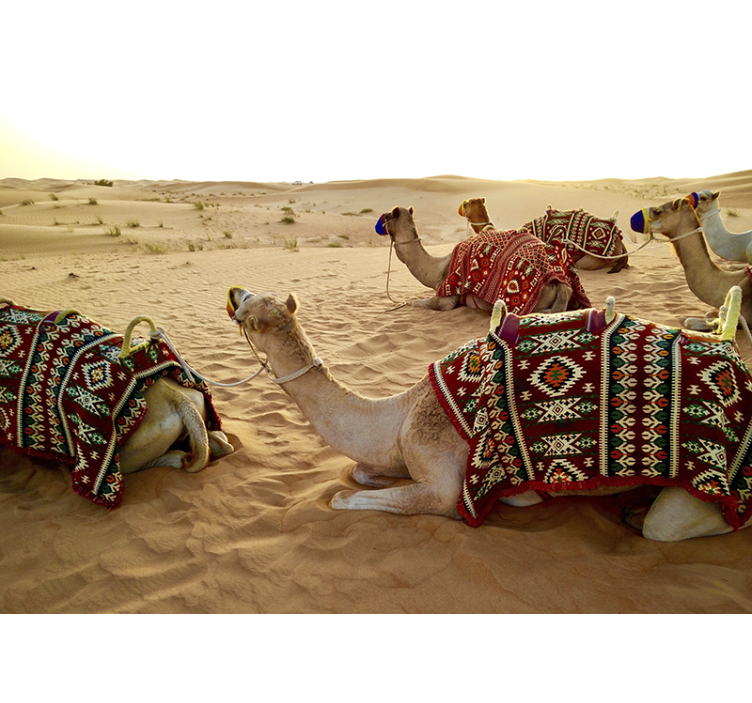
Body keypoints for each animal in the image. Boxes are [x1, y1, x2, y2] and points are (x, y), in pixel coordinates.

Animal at [227, 286, 752, 541]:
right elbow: (359, 472)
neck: (401, 412)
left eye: (248, 310)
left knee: (674, 526)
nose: (233, 292)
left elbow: (343, 497)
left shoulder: (441, 481)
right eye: (251, 297)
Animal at [376, 206, 589, 314]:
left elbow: (419, 303)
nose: (379, 223)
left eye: (387, 216)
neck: (437, 267)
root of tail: (561, 283)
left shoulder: (446, 296)